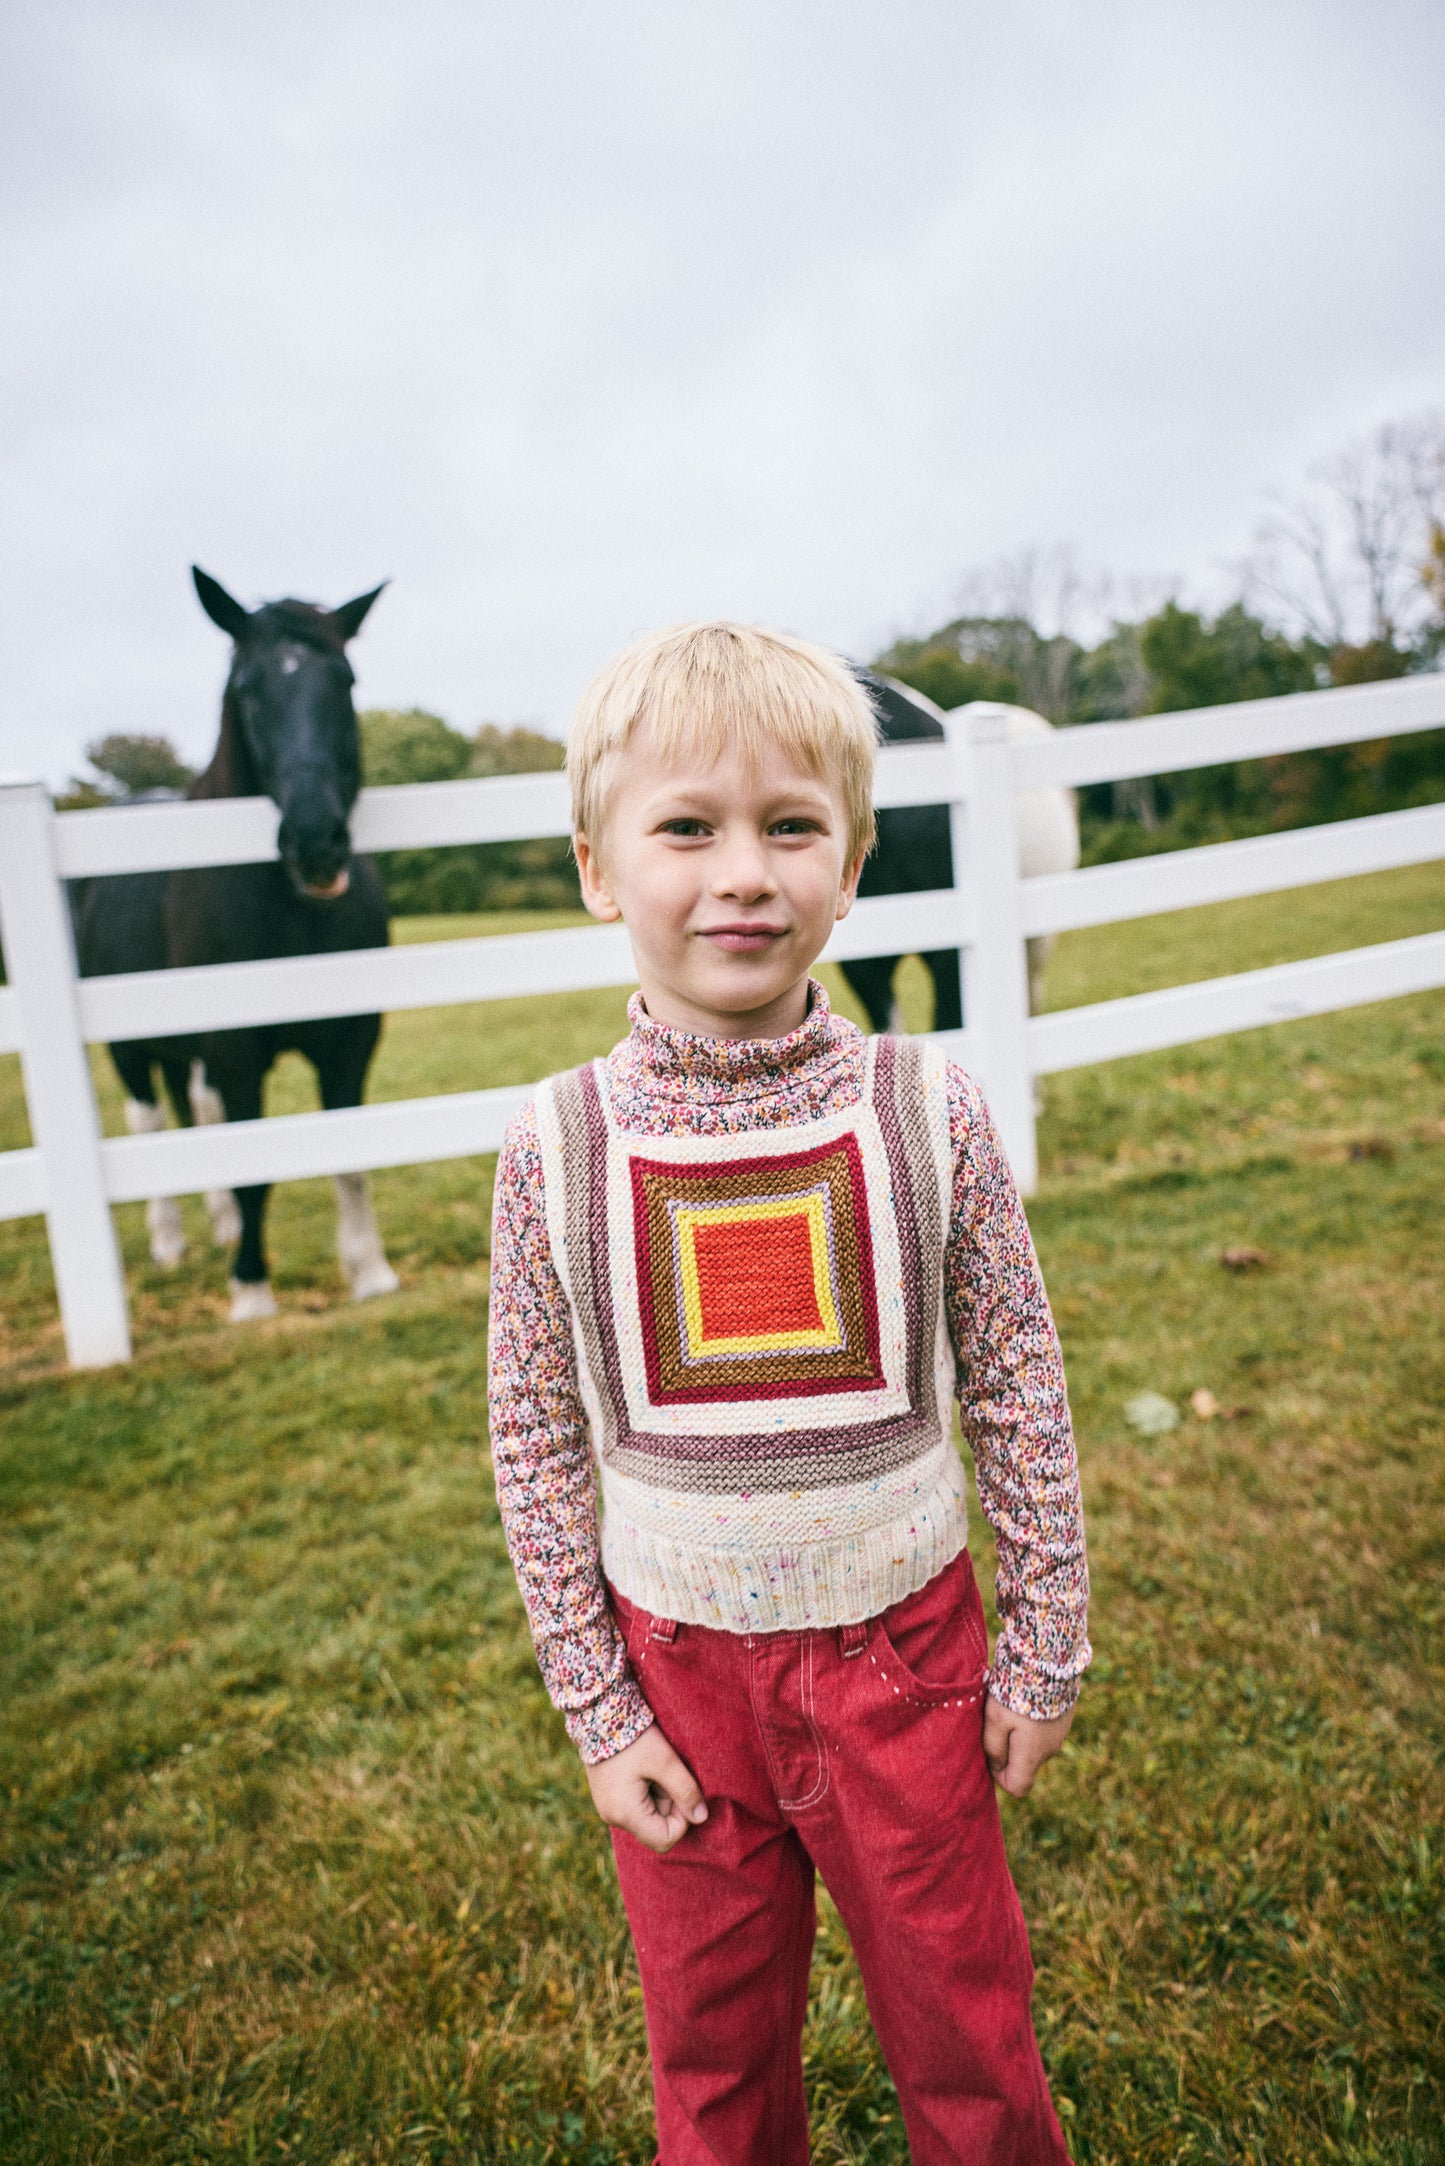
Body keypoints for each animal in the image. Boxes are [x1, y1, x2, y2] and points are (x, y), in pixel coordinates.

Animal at [73, 567, 396, 1316]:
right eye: (247, 688)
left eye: (345, 678)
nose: (315, 842)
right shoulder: (235, 1049)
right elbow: (256, 1168)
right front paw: (251, 1288)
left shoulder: (349, 1042)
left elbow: (350, 1155)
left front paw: (369, 1272)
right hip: (133, 1049)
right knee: (149, 1120)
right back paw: (170, 1240)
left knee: (201, 1116)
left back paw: (220, 1224)